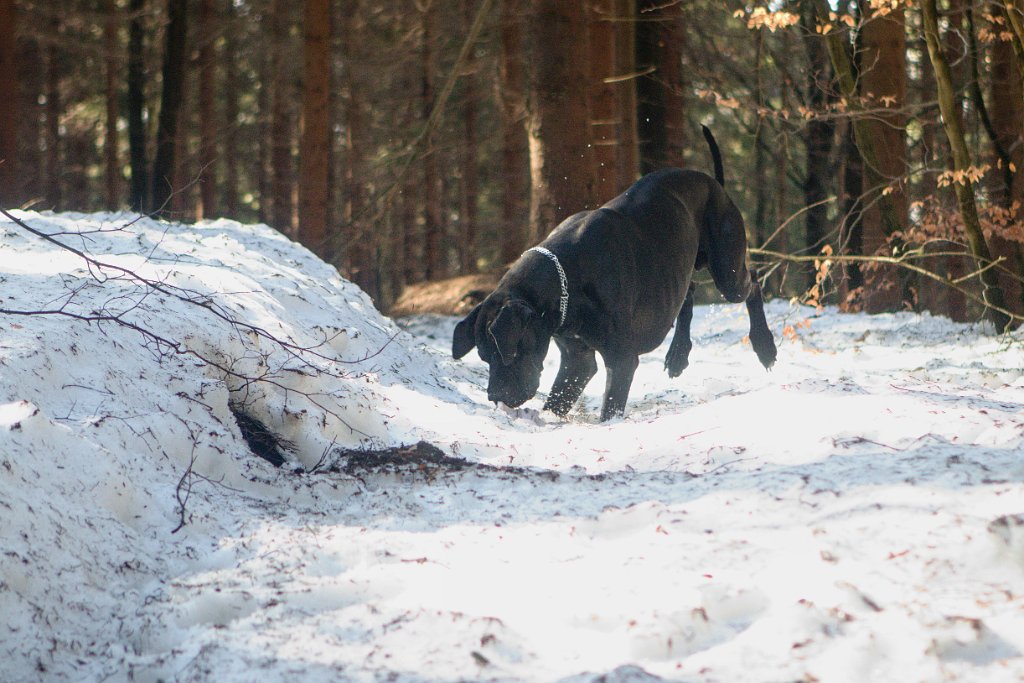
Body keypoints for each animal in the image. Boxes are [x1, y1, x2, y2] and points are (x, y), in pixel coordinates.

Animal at [454, 125, 774, 419]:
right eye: (483, 356)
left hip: (727, 271)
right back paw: (678, 354)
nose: (494, 396)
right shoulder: (577, 359)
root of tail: (714, 184)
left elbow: (610, 406)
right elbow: (558, 399)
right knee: (689, 290)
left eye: (506, 353)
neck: (565, 279)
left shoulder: (620, 359)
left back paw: (764, 346)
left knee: (754, 280)